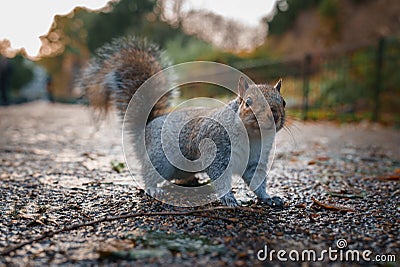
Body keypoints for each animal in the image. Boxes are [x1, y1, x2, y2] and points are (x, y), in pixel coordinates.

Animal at [81, 36, 286, 207]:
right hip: (160, 159)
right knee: (149, 172)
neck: (253, 136)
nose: (274, 115)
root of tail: (148, 126)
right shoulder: (217, 148)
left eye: (283, 102)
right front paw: (229, 198)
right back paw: (153, 188)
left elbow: (257, 180)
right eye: (248, 102)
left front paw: (269, 198)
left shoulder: (255, 159)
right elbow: (220, 176)